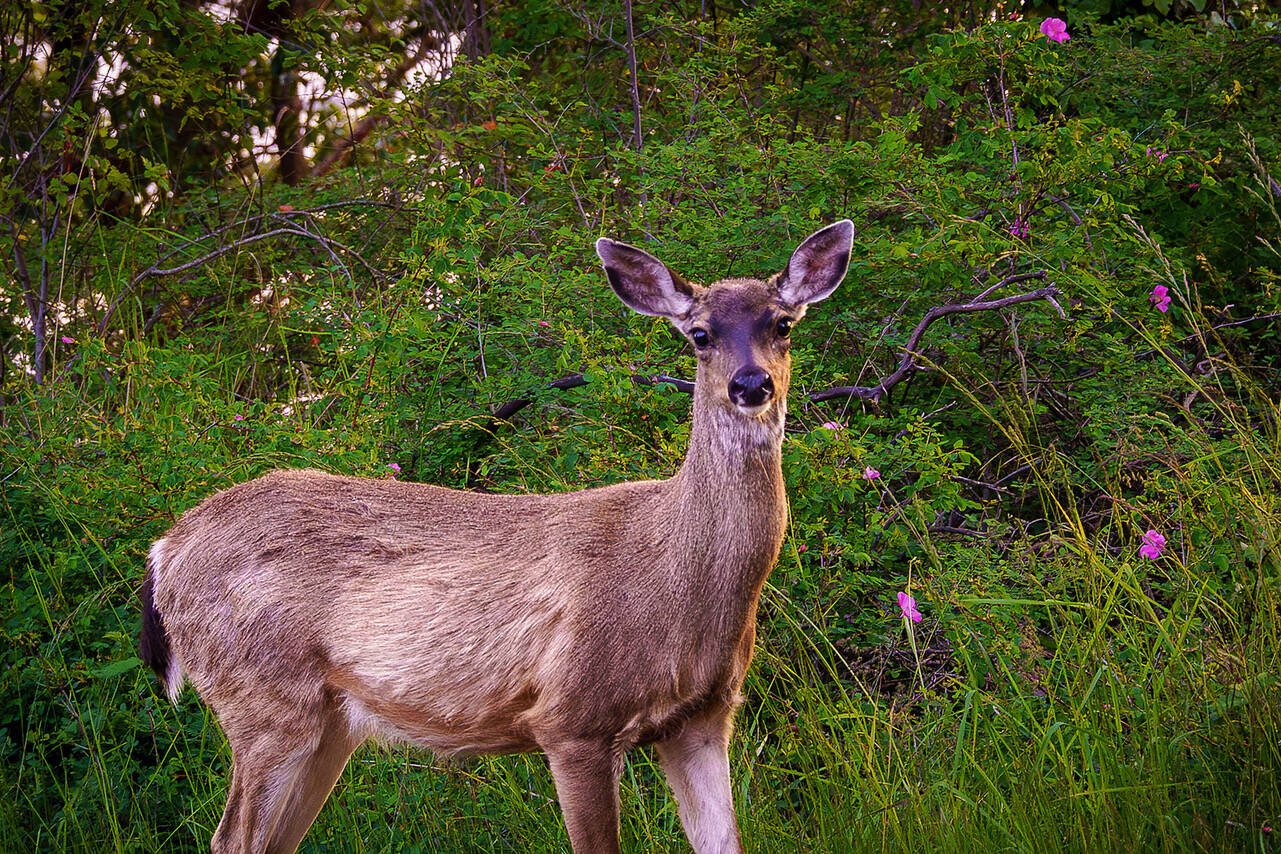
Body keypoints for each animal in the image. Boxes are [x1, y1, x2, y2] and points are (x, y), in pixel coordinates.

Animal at [139, 220, 854, 854]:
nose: (751, 384)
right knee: (231, 837)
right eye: (700, 334)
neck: (680, 576)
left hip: (327, 722)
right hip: (263, 694)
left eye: (782, 324)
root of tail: (165, 549)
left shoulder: (703, 719)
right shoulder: (573, 718)